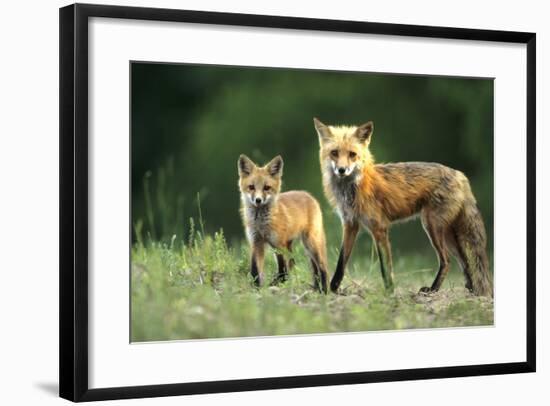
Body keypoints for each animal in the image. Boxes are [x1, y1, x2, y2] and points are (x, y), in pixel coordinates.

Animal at [239, 154, 330, 294]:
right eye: (251, 187)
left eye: (266, 188)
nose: (258, 200)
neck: (261, 224)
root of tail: (308, 194)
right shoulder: (256, 242)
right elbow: (255, 270)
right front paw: (256, 287)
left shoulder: (278, 243)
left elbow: (283, 271)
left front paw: (275, 284)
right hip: (293, 246)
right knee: (301, 266)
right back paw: (316, 288)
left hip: (310, 243)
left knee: (322, 267)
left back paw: (324, 290)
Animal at [314, 116, 496, 296]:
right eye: (334, 153)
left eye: (352, 154)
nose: (342, 170)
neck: (352, 189)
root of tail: (460, 175)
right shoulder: (350, 224)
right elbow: (342, 261)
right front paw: (333, 288)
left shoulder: (379, 227)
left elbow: (385, 268)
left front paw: (389, 292)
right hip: (448, 233)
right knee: (465, 262)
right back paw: (472, 291)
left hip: (432, 226)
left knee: (447, 261)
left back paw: (433, 290)